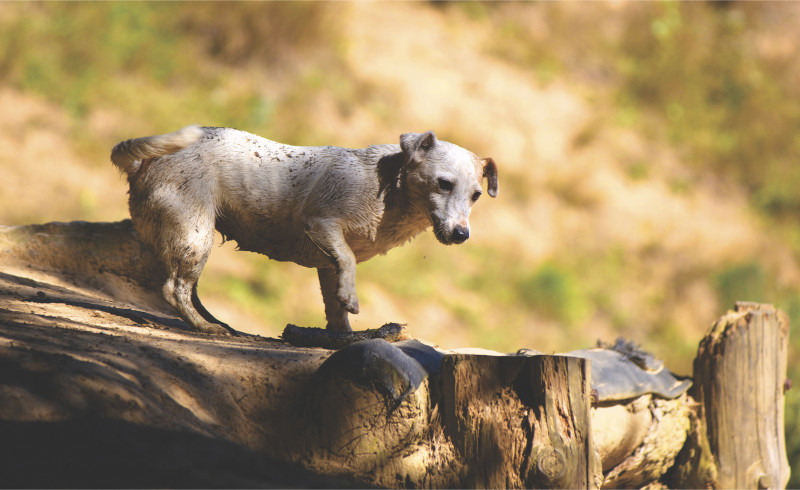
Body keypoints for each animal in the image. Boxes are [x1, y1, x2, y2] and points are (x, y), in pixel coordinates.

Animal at [111, 126, 500, 334]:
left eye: (477, 195)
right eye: (444, 184)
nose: (462, 235)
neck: (390, 188)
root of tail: (144, 160)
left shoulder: (328, 265)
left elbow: (335, 307)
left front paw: (344, 334)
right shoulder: (321, 225)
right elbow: (348, 263)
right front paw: (352, 299)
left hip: (184, 238)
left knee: (182, 287)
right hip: (194, 235)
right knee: (173, 289)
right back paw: (205, 326)